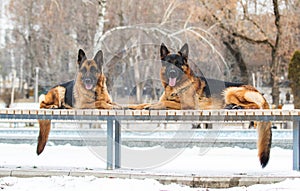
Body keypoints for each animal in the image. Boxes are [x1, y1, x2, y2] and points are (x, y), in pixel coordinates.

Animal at [134, 43, 272, 167]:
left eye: (178, 63)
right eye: (168, 63)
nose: (172, 72)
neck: (175, 88)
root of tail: (258, 91)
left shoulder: (189, 106)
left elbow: (163, 102)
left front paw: (153, 106)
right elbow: (147, 102)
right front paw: (133, 106)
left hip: (230, 90)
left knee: (255, 106)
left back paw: (235, 107)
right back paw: (231, 106)